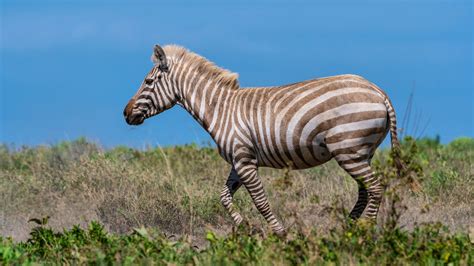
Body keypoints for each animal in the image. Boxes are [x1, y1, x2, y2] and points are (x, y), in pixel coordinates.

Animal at [123, 44, 404, 236]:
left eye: (148, 81)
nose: (126, 113)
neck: (220, 109)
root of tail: (378, 91)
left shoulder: (245, 161)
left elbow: (260, 201)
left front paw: (280, 235)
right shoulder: (238, 160)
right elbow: (224, 197)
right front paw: (247, 229)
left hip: (348, 149)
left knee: (375, 188)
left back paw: (364, 231)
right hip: (360, 152)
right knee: (365, 191)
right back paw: (349, 228)